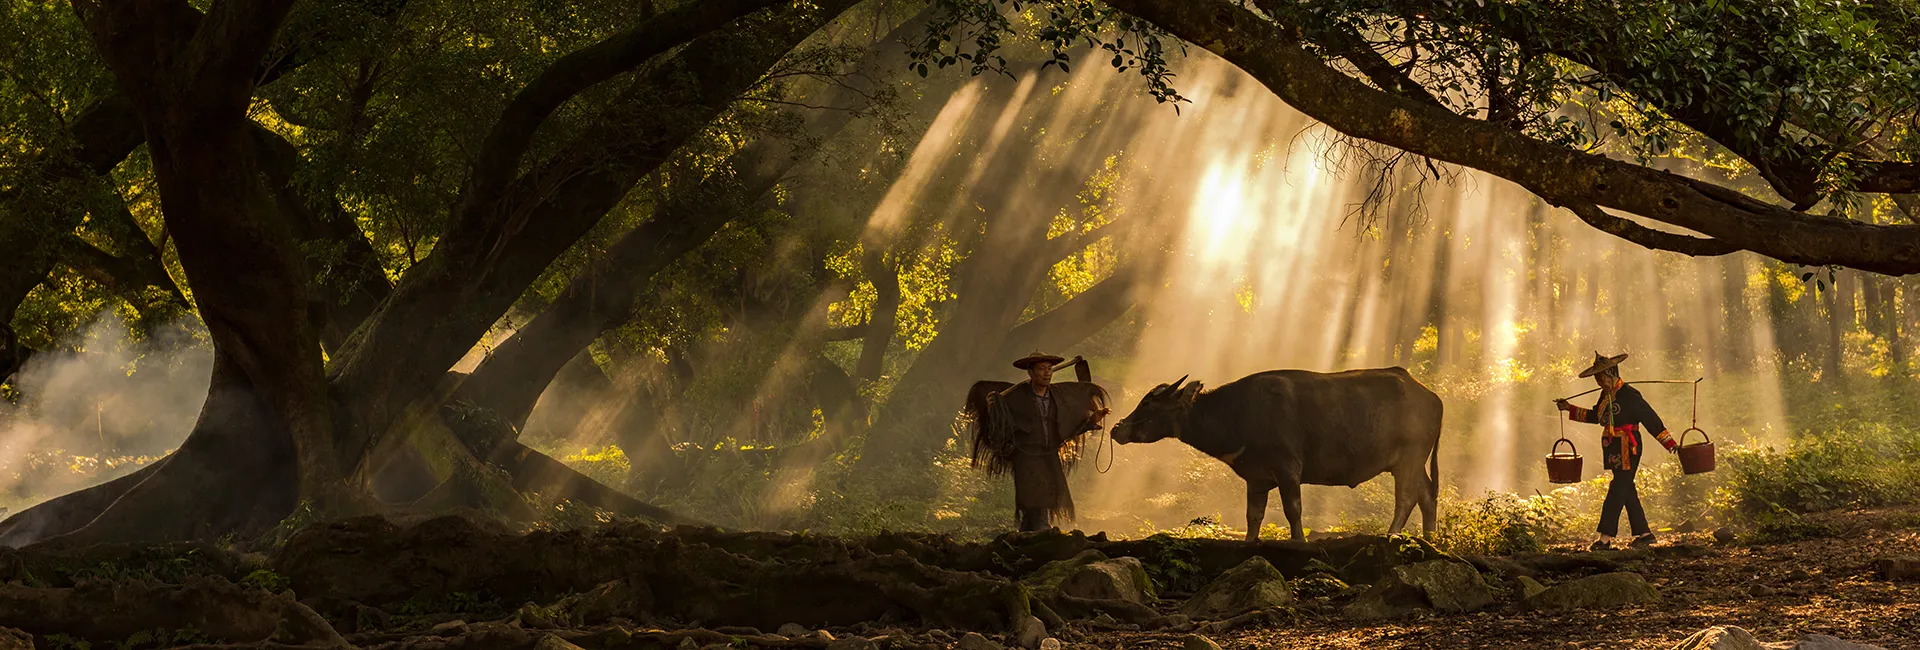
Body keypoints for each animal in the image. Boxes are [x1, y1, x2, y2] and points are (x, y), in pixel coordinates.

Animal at [1113, 370, 1443, 540]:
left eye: (1148, 404)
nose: (1117, 428)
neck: (1238, 413)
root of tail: (1432, 397)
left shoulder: (1288, 468)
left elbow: (1293, 510)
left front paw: (1298, 542)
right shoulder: (1256, 478)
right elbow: (1253, 516)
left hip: (1411, 456)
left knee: (1407, 498)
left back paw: (1392, 535)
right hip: (1411, 463)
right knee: (1427, 495)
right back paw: (1431, 540)